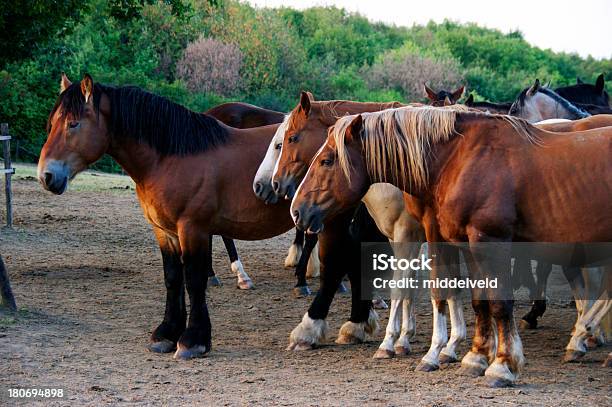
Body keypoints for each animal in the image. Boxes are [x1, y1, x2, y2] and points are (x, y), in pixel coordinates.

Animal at [290, 105, 612, 386]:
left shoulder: (488, 242)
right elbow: (475, 299)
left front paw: (503, 365)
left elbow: (498, 302)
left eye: (327, 160)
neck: (460, 160)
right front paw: (475, 358)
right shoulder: (465, 244)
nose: (296, 210)